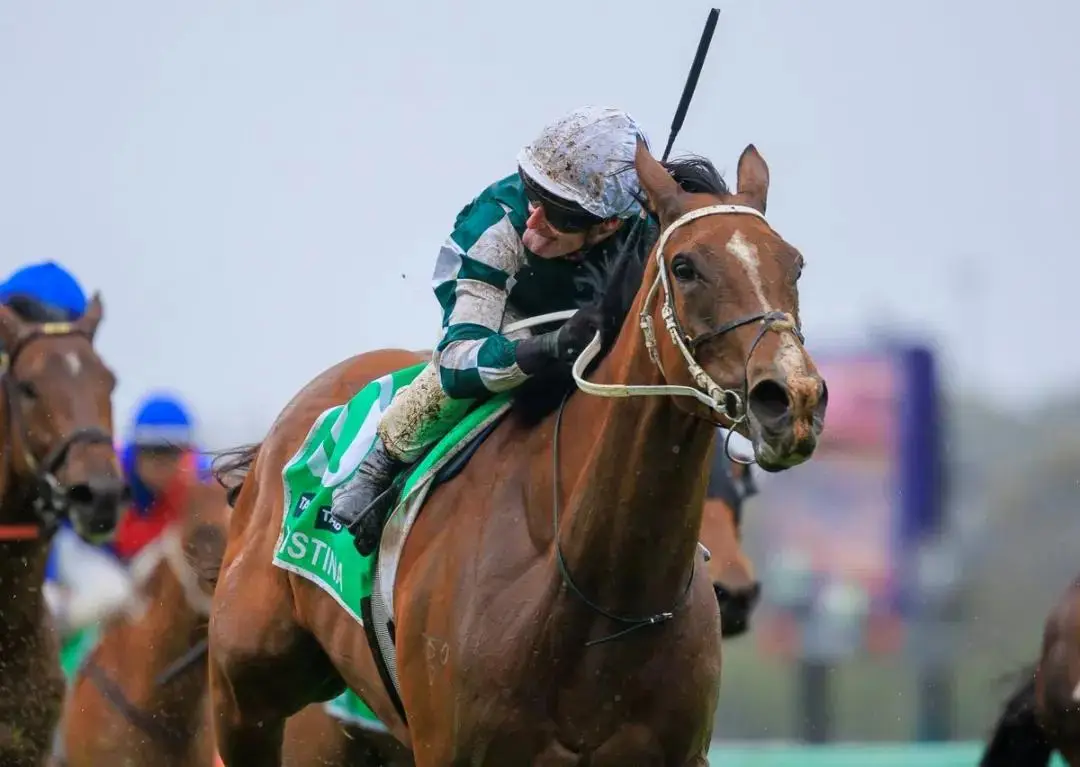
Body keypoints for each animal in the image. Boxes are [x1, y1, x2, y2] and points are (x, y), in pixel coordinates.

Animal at [208, 139, 826, 766]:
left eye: (794, 264)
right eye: (684, 266)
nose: (793, 398)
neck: (598, 591)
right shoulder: (451, 748)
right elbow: (465, 350)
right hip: (247, 695)